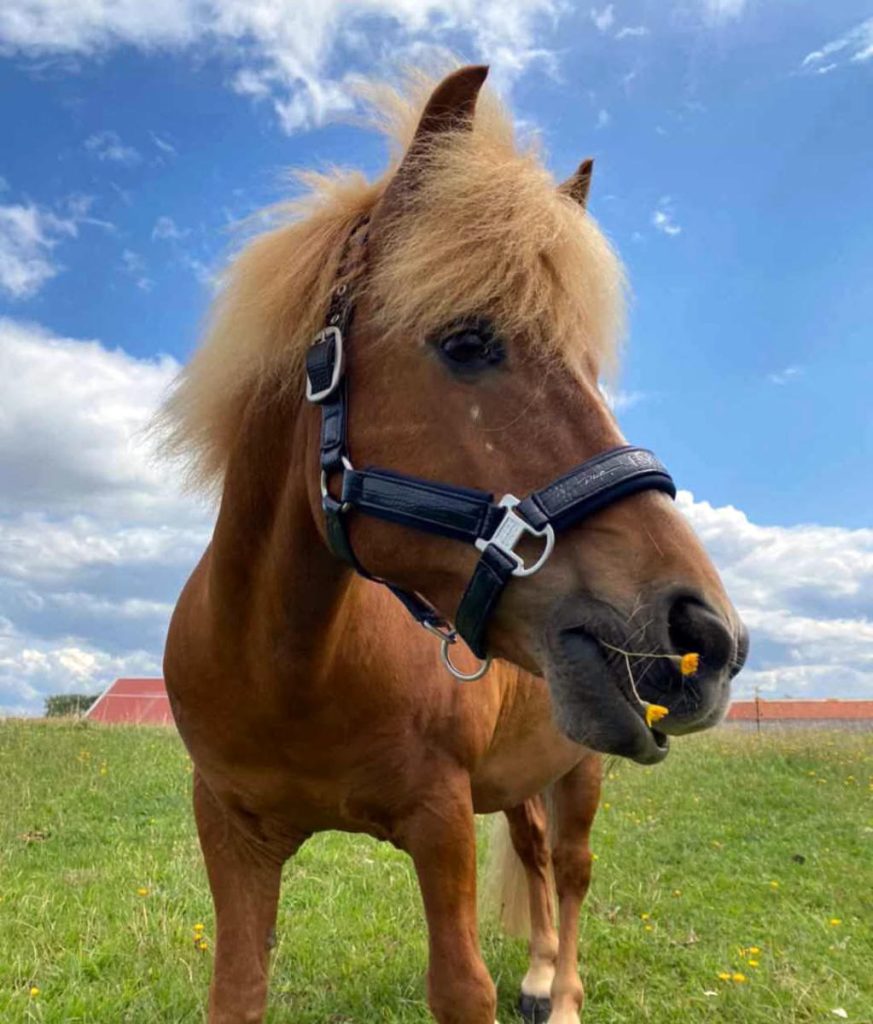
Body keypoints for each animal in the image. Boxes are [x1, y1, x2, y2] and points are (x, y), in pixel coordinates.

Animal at [160, 65, 748, 1024]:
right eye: (467, 342)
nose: (708, 637)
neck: (291, 667)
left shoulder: (439, 820)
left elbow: (461, 986)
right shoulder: (231, 830)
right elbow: (238, 987)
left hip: (582, 767)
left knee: (571, 868)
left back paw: (564, 993)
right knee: (536, 850)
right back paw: (540, 974)